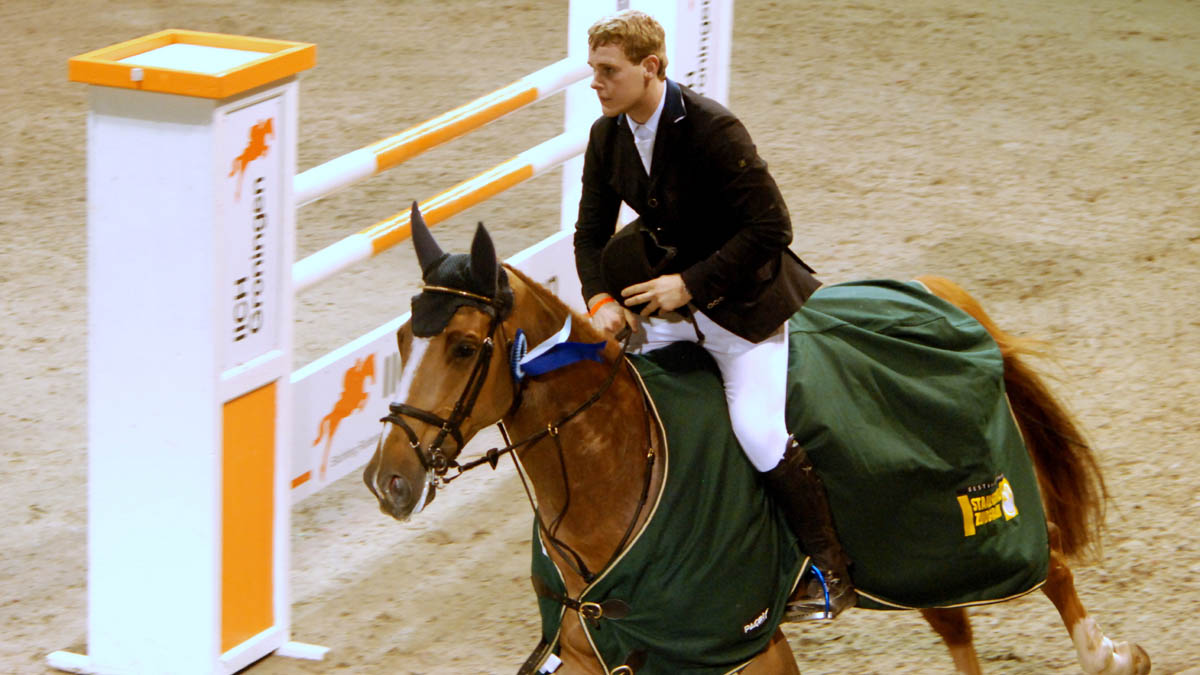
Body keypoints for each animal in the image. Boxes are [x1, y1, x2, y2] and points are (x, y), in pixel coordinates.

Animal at [360, 206, 1147, 672]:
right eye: (400, 340)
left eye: (463, 347)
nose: (388, 481)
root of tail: (937, 291)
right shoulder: (593, 650)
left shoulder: (745, 648)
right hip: (912, 553)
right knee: (958, 623)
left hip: (970, 528)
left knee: (1055, 567)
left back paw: (1111, 655)